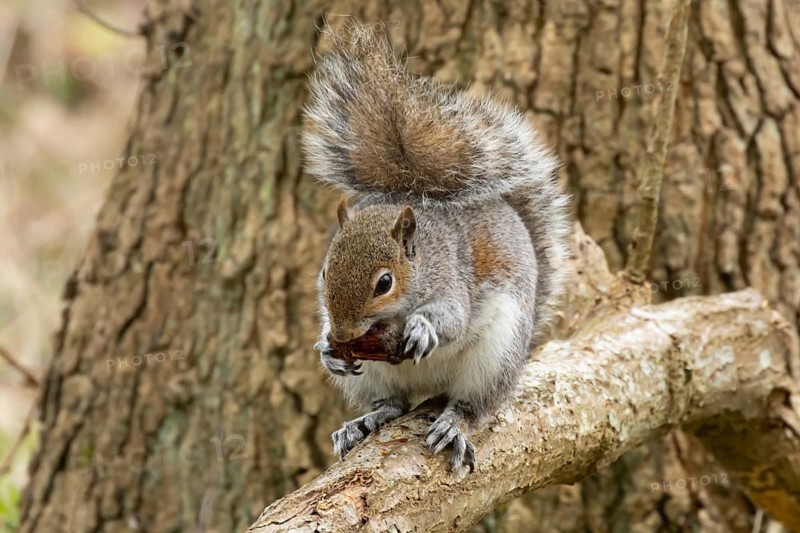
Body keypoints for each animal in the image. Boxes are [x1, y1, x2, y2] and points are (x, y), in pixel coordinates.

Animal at [303, 23, 573, 472]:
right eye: (324, 272)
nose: (342, 334)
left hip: (495, 357)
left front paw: (422, 328)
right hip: (376, 378)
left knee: (472, 405)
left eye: (384, 283)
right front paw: (326, 349)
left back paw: (452, 425)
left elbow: (453, 318)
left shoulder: (450, 277)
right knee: (392, 404)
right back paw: (362, 422)